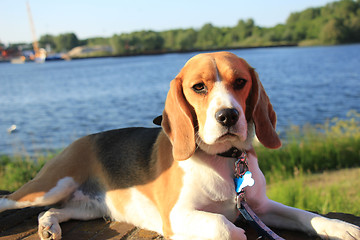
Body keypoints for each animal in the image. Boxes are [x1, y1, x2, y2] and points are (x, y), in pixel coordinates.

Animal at [0, 51, 360, 239]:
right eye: (199, 87)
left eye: (241, 82)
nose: (228, 116)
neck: (224, 161)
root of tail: (81, 139)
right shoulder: (176, 216)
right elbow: (223, 225)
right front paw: (238, 232)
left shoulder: (260, 206)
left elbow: (305, 216)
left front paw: (342, 228)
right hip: (48, 186)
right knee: (14, 201)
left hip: (88, 206)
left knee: (51, 211)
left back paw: (48, 227)